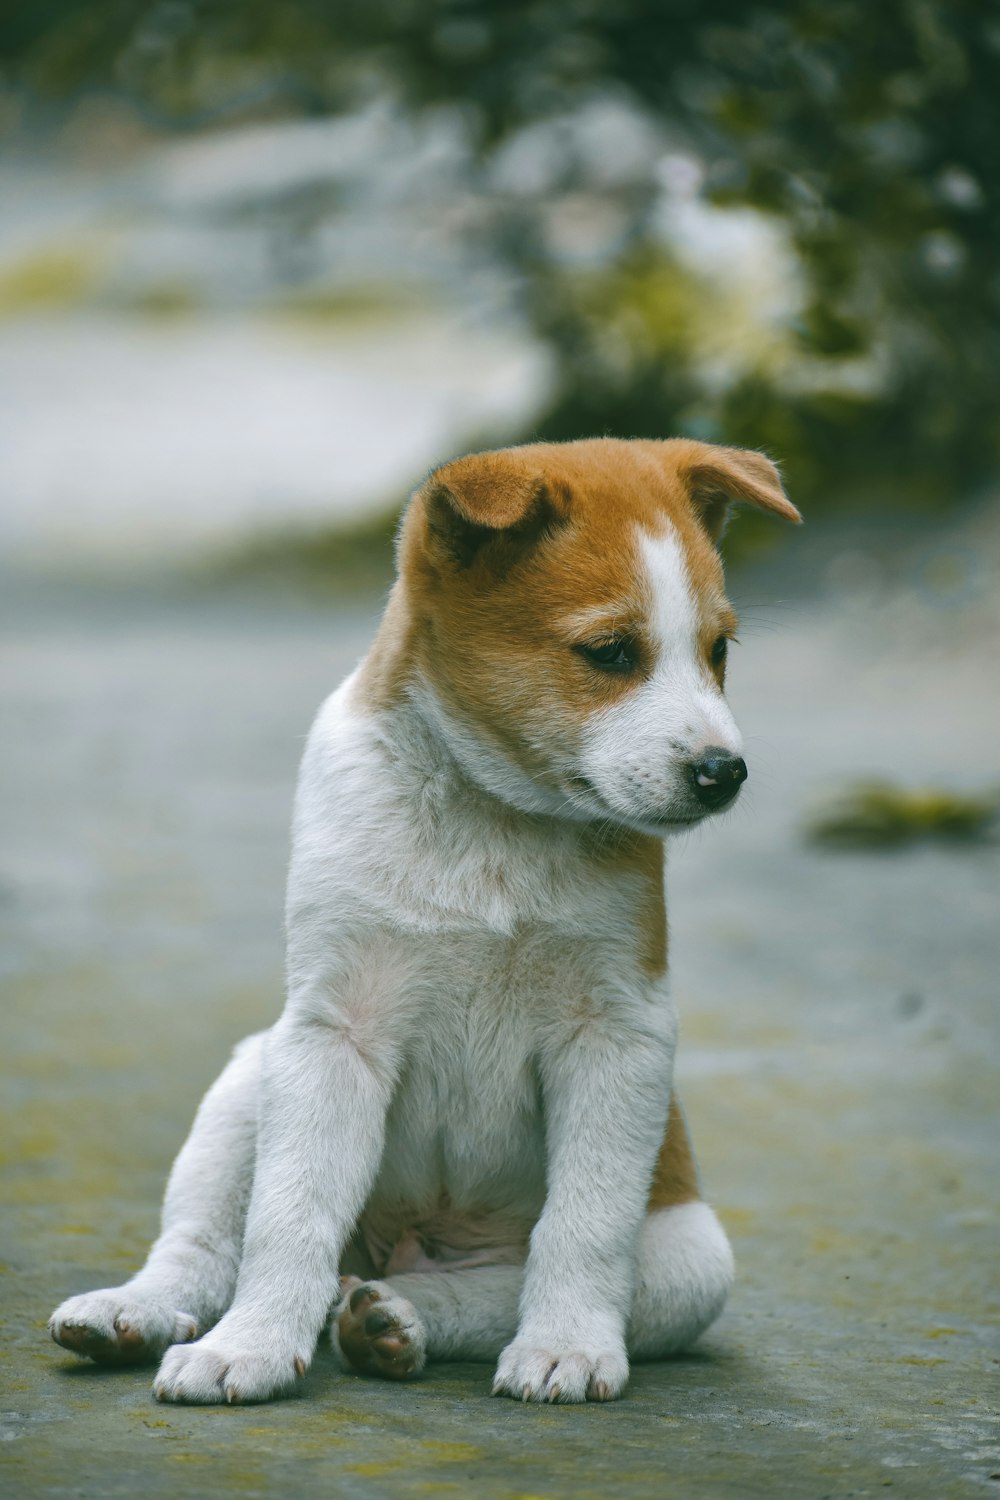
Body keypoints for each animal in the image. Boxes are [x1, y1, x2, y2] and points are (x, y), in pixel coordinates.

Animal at [46, 438, 803, 1404]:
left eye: (718, 650)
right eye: (609, 652)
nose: (723, 772)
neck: (493, 824)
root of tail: (410, 1247)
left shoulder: (617, 1035)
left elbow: (584, 1227)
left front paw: (566, 1345)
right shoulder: (337, 1032)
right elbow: (286, 1218)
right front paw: (251, 1344)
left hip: (690, 1257)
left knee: (491, 1287)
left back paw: (393, 1320)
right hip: (254, 1074)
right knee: (205, 1246)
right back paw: (136, 1311)